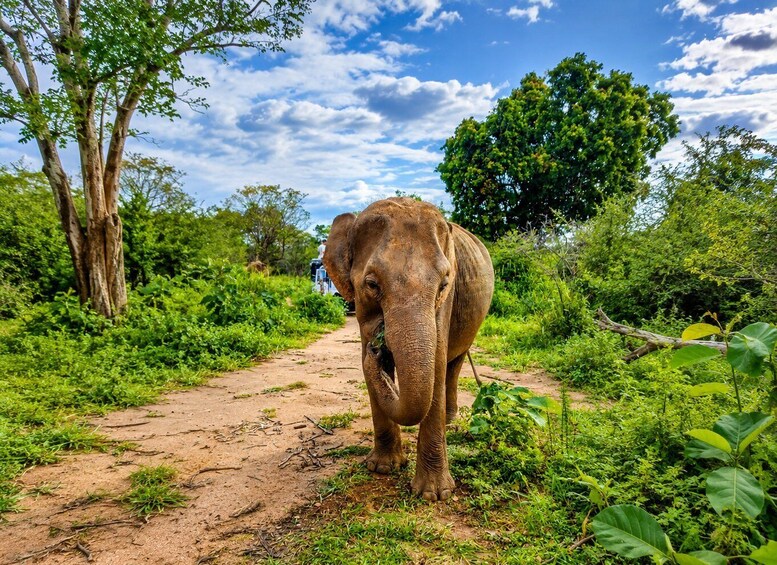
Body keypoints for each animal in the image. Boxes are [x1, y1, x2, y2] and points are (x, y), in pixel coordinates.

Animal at [324, 197, 494, 501]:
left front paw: (434, 495)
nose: (378, 350)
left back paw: (450, 420)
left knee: (453, 365)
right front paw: (382, 468)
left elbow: (436, 362)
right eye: (371, 284)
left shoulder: (447, 302)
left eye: (443, 284)